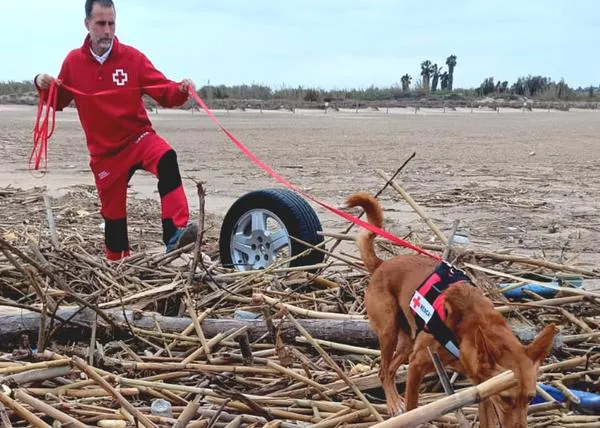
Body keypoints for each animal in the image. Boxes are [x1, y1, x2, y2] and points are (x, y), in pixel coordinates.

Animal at [344, 192, 560, 426]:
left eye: (530, 398)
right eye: (506, 398)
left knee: (391, 370)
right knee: (383, 371)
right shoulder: (417, 365)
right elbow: (413, 408)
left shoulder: (483, 387)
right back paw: (393, 404)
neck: (468, 327)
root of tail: (382, 264)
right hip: (388, 332)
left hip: (407, 341)